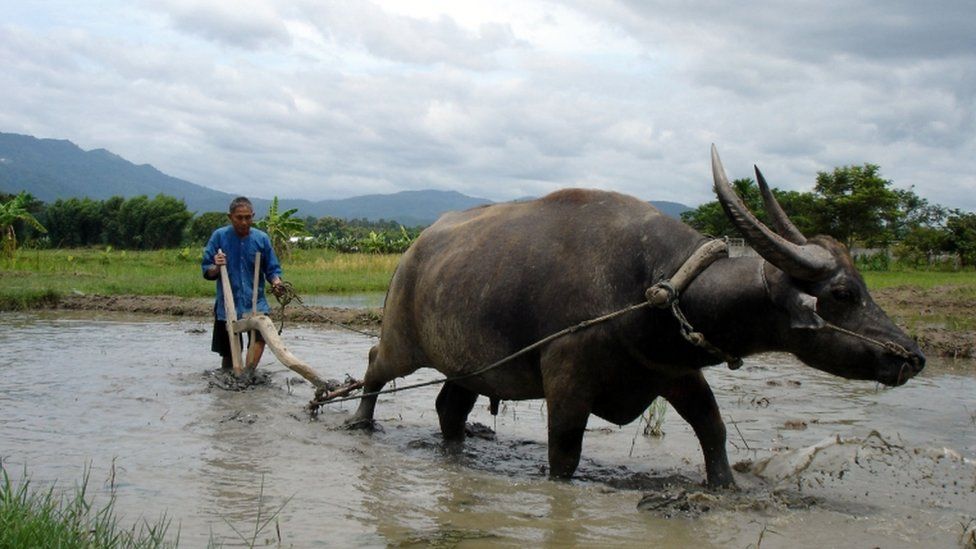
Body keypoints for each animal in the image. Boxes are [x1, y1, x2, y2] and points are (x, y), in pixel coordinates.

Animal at [346, 146, 924, 488]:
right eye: (844, 292)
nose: (913, 357)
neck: (656, 284)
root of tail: (413, 251)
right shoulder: (567, 379)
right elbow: (565, 453)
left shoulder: (675, 371)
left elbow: (713, 429)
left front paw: (726, 487)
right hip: (402, 342)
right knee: (375, 365)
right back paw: (360, 422)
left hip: (471, 365)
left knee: (449, 406)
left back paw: (457, 449)